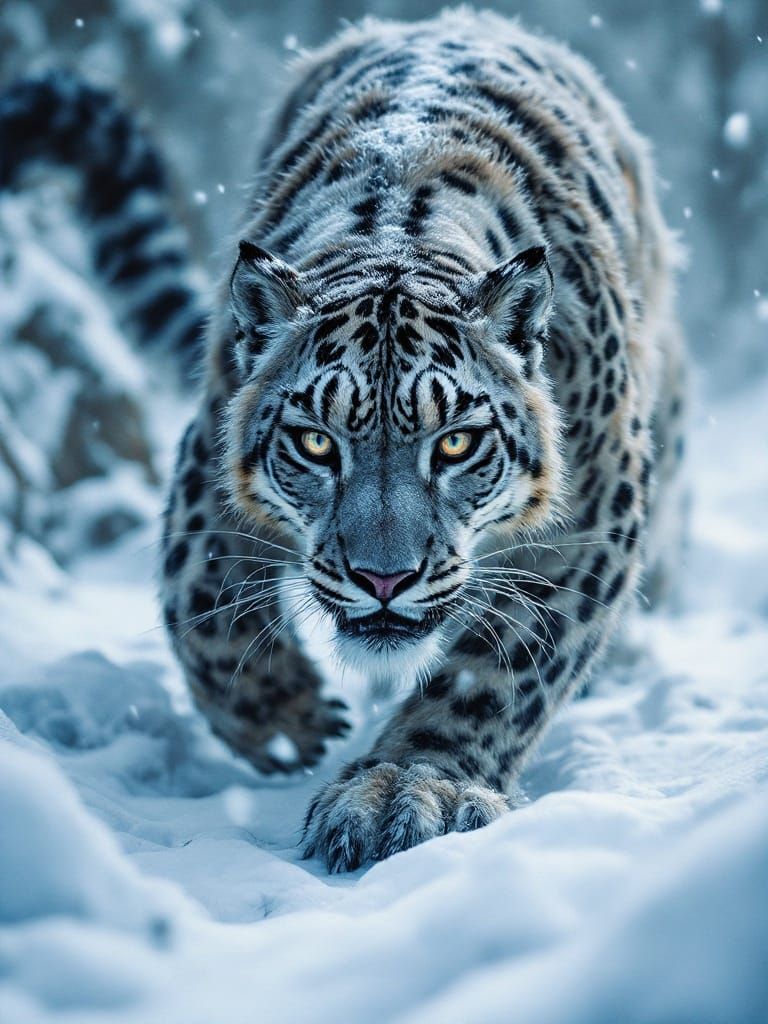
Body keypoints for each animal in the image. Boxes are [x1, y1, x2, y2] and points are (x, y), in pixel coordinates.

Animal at [0, 9, 688, 873]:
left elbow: (495, 675)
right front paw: (287, 721)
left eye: (455, 446)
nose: (383, 579)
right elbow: (200, 604)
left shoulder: (591, 515)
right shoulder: (206, 468)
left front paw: (411, 787)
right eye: (317, 445)